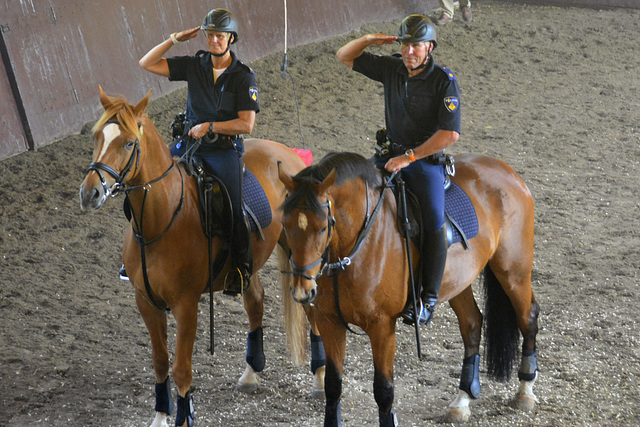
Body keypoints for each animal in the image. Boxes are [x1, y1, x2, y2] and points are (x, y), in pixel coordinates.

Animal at [79, 88, 324, 427]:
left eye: (129, 143)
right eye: (97, 137)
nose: (89, 193)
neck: (163, 217)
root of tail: (287, 153)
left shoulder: (186, 304)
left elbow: (181, 368)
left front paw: (184, 416)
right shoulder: (145, 301)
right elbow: (160, 362)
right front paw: (160, 415)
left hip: (299, 254)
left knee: (311, 307)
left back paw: (321, 378)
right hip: (246, 265)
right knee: (256, 300)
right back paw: (251, 372)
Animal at [278, 153, 540, 427]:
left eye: (322, 227)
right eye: (285, 224)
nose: (302, 290)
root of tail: (505, 169)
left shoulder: (382, 326)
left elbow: (384, 390)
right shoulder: (330, 322)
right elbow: (333, 386)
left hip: (513, 272)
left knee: (528, 317)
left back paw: (525, 392)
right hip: (460, 281)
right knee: (472, 324)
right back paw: (462, 401)